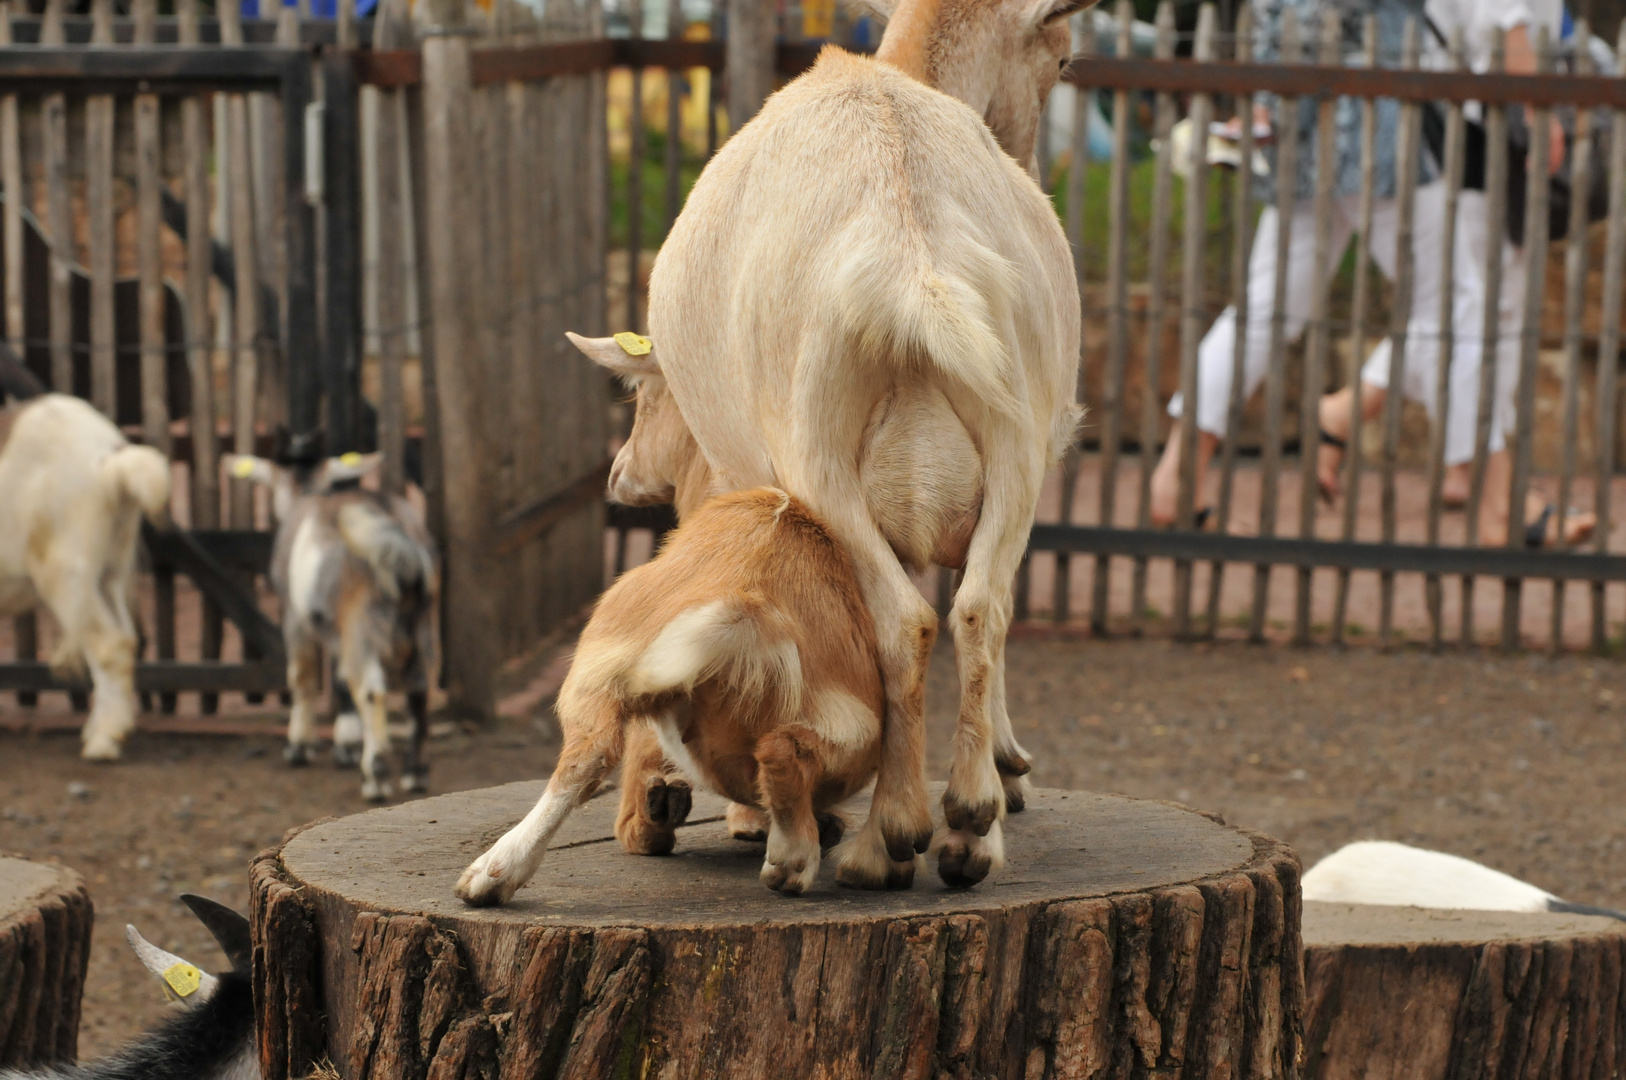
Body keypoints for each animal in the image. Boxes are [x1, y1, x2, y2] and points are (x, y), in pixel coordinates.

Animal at [229, 452, 442, 796]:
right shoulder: (336, 627)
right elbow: (340, 679)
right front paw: (347, 744)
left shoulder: (295, 616)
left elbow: (302, 676)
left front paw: (298, 747)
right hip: (421, 619)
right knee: (419, 687)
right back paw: (415, 772)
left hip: (362, 619)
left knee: (370, 689)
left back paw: (376, 776)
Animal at [458, 487, 891, 904]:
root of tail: (747, 592)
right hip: (855, 730)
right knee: (783, 752)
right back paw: (791, 857)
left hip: (600, 666)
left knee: (586, 761)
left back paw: (491, 876)